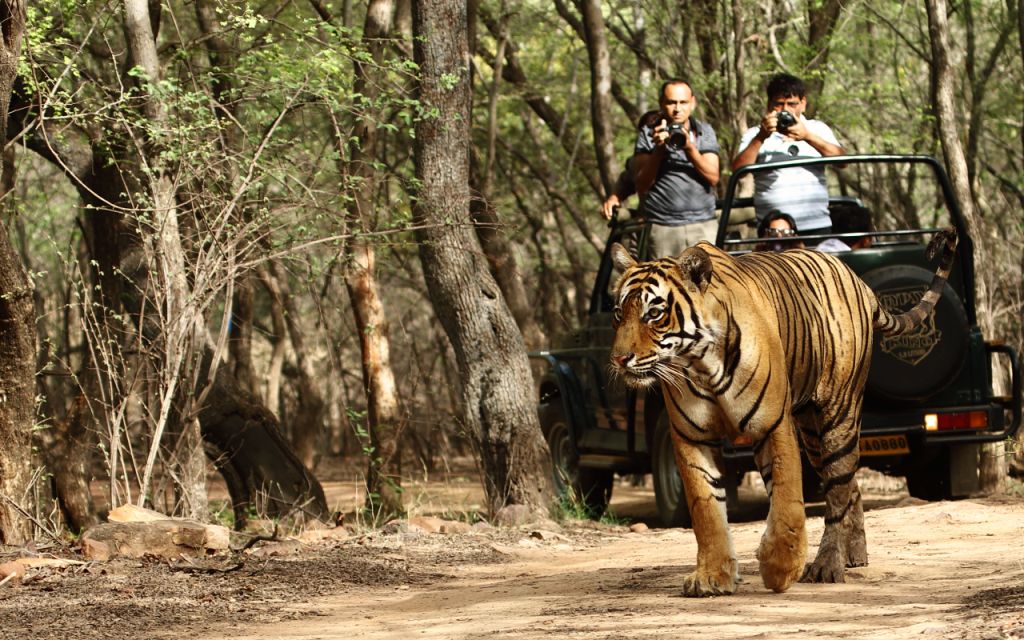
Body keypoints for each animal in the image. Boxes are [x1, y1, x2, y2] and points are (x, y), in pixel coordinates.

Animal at [610, 228, 954, 593]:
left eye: (654, 314)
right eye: (618, 313)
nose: (619, 359)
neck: (700, 363)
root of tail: (859, 281)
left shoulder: (772, 425)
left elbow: (787, 500)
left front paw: (781, 568)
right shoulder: (691, 438)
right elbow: (706, 510)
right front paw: (712, 575)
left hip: (839, 415)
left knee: (838, 490)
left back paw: (827, 565)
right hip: (812, 434)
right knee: (850, 486)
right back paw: (854, 555)